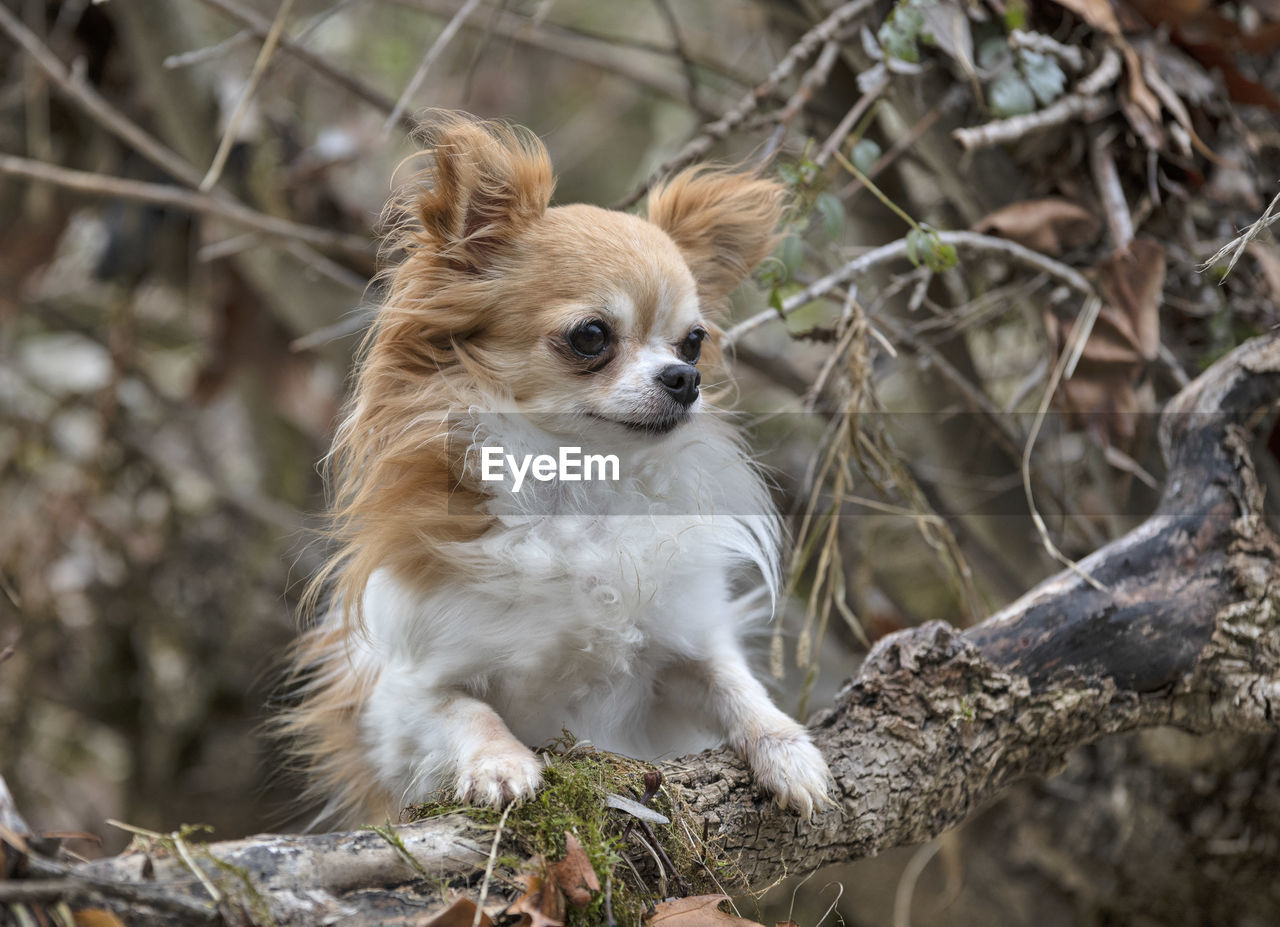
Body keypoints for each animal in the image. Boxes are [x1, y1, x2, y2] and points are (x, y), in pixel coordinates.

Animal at [282, 117, 829, 824]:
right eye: (591, 336)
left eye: (694, 341)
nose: (686, 379)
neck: (580, 492)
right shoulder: (396, 702)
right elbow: (466, 710)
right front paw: (501, 764)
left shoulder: (684, 648)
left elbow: (735, 685)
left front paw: (790, 752)